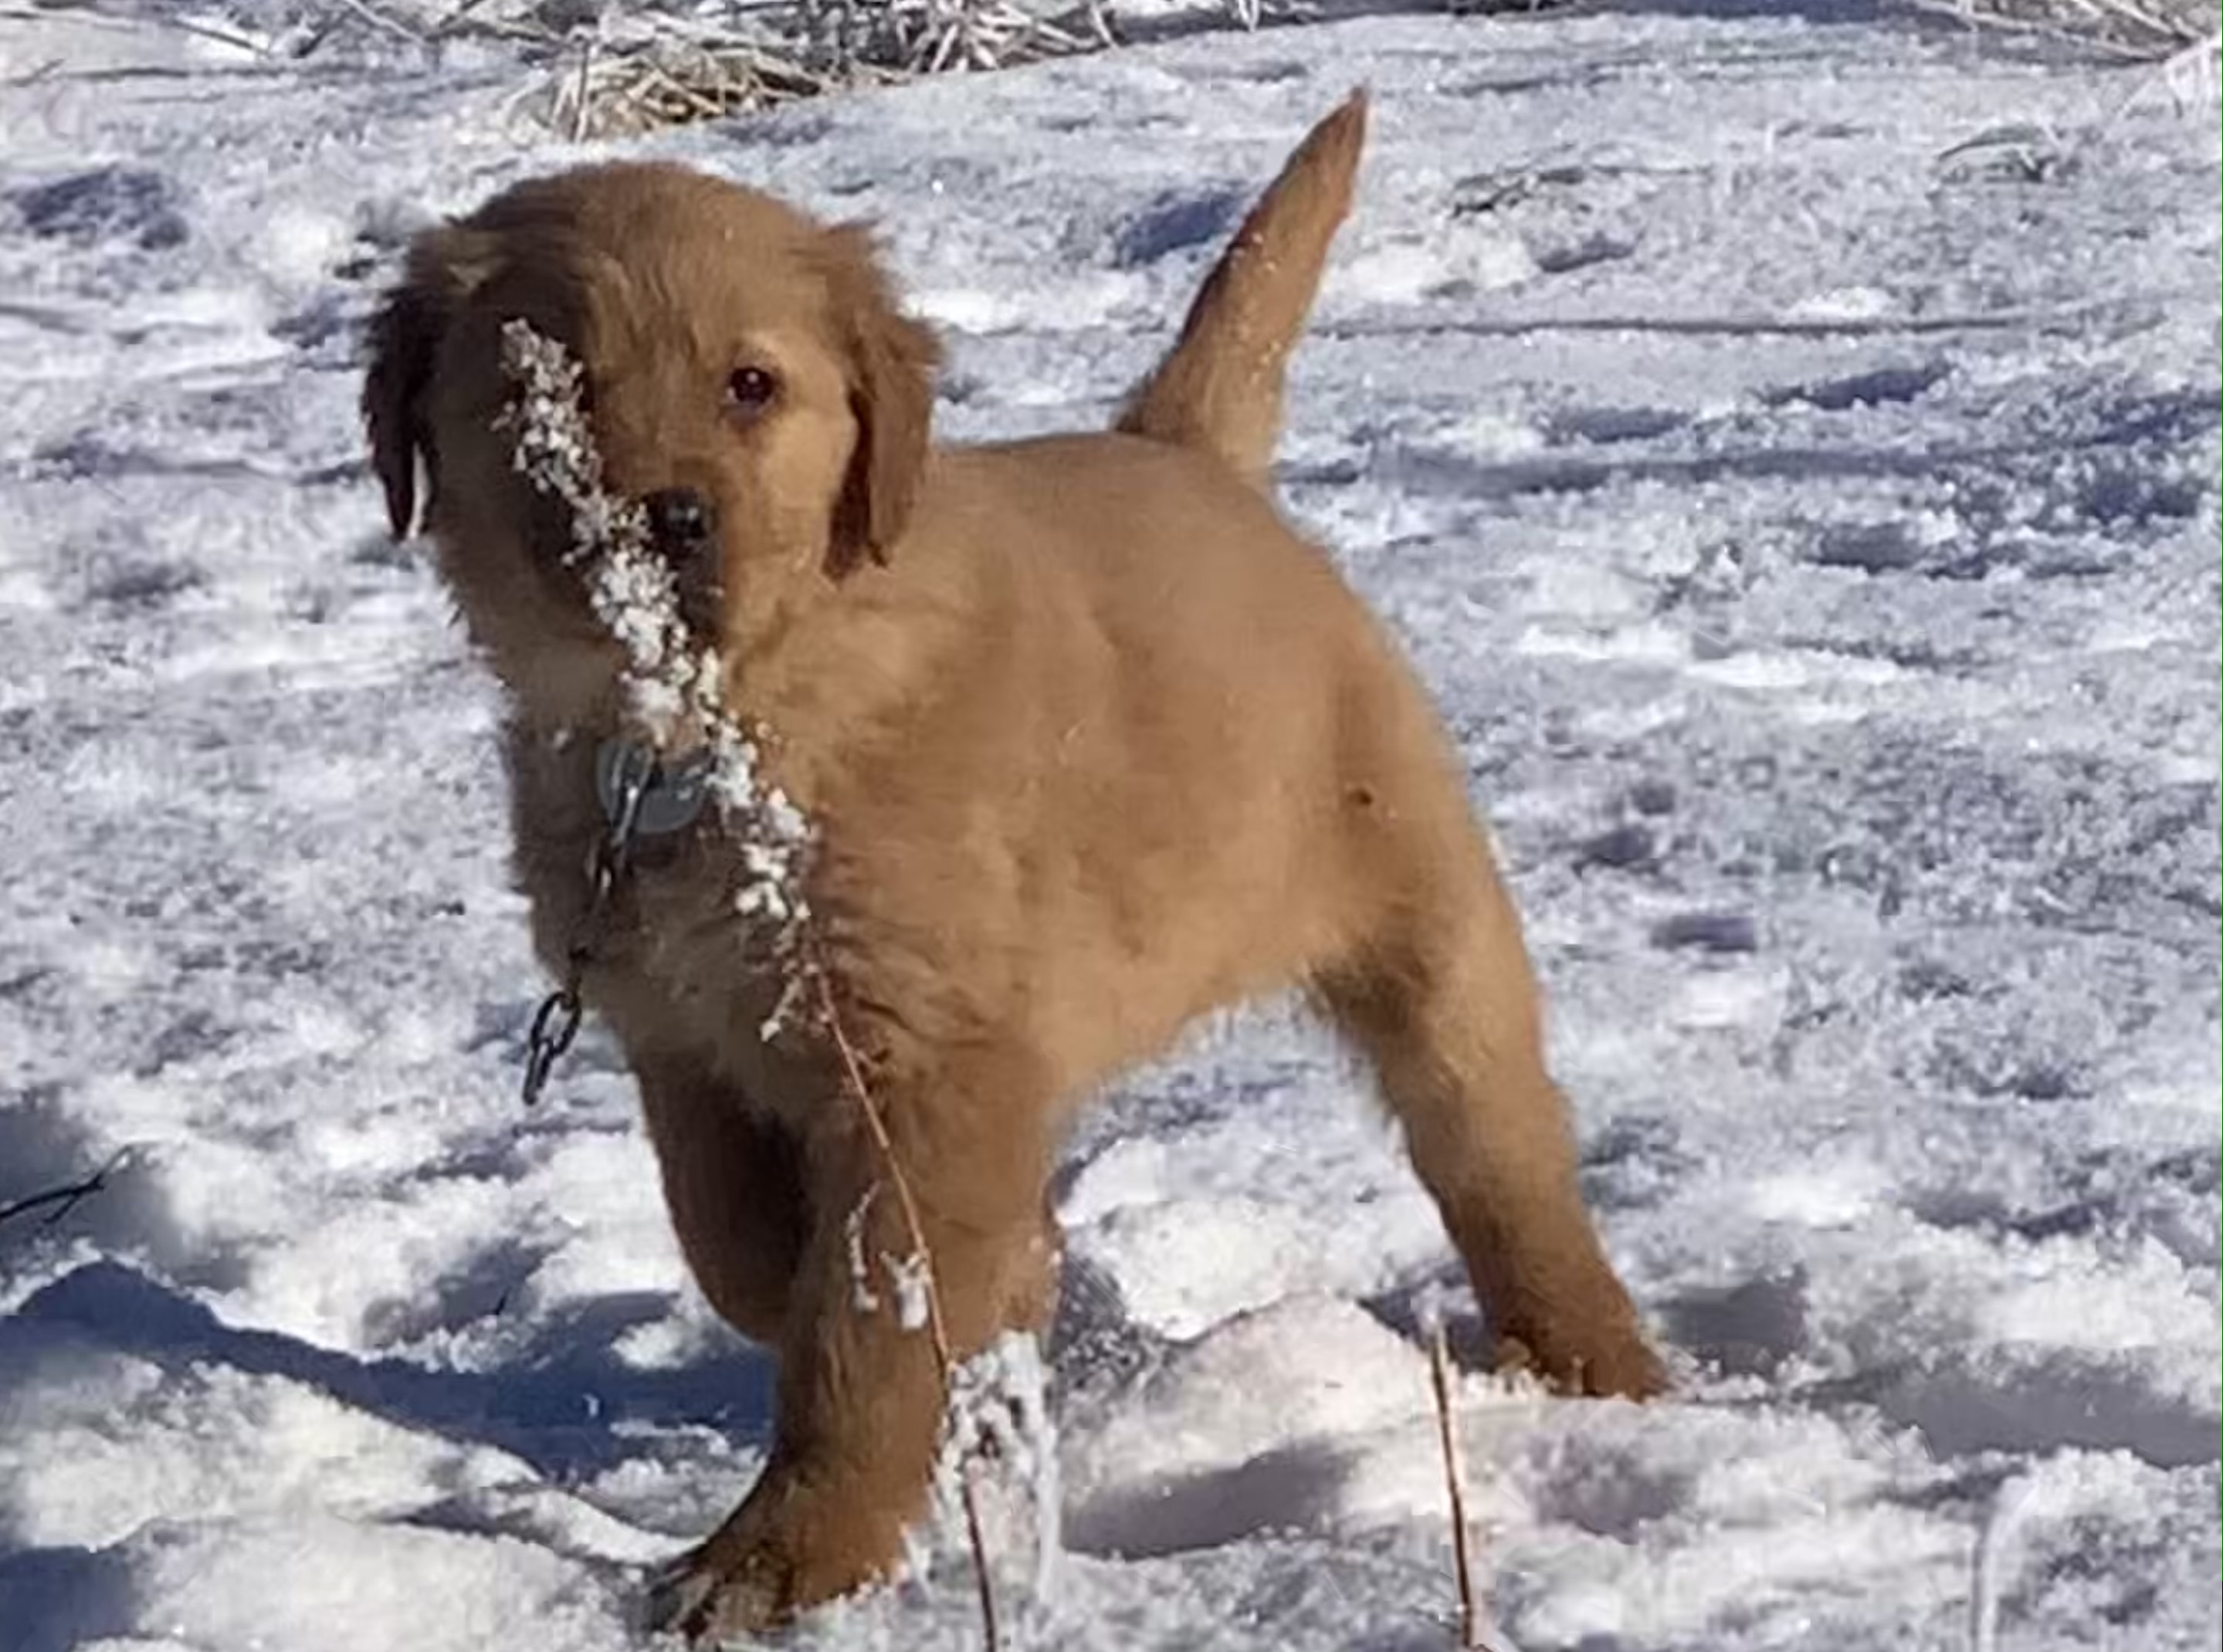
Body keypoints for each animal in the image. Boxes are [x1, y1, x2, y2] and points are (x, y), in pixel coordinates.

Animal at [360, 96, 1653, 1636]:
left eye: (750, 386)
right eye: (535, 396)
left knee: (1502, 1161)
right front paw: (933, 1314)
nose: (662, 520)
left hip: (1430, 927)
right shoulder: (679, 1042)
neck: (711, 737)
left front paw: (784, 1557)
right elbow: (735, 1244)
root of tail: (1183, 453)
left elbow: (862, 1328)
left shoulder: (928, 1059)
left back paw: (1599, 1365)